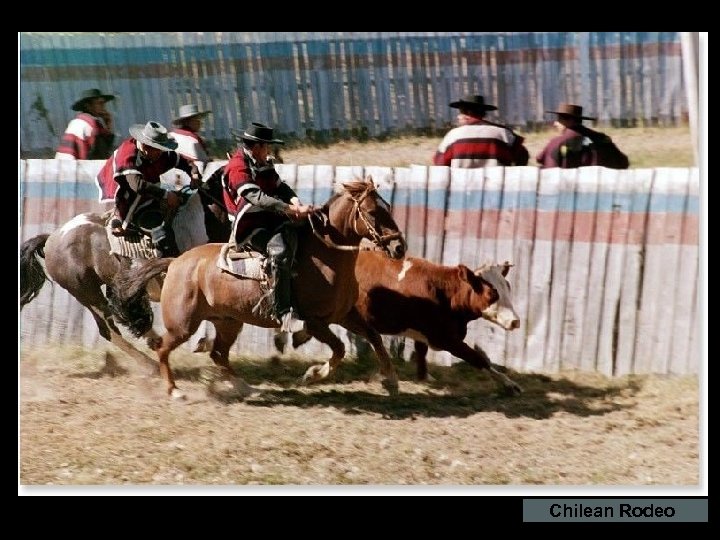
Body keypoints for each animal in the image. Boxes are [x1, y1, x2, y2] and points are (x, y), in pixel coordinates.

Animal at [112, 179, 404, 398]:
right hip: (183, 325)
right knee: (163, 349)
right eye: (372, 212)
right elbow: (340, 348)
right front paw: (313, 375)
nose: (399, 247)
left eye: (388, 206)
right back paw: (174, 390)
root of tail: (175, 262)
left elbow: (374, 337)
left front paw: (391, 381)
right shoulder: (315, 322)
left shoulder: (344, 315)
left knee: (218, 355)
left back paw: (246, 387)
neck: (326, 255)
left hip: (227, 322)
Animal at [282, 251, 524, 394]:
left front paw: (425, 377)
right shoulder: (446, 339)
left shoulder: (425, 336)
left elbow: (422, 355)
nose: (515, 321)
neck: (444, 292)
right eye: (492, 294)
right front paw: (509, 384)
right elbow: (479, 358)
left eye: (507, 287)